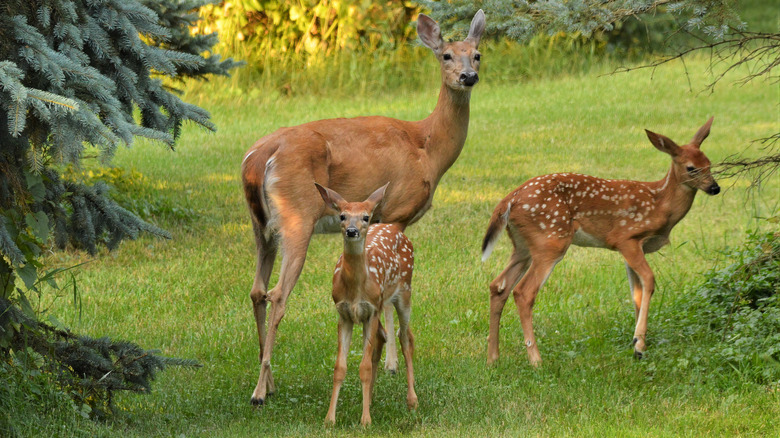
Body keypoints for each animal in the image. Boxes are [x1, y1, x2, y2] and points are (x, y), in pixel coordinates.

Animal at [314, 183, 418, 426]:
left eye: (365, 217)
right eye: (342, 216)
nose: (352, 231)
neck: (355, 290)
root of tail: (396, 229)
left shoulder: (370, 311)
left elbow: (364, 367)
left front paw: (365, 421)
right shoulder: (344, 313)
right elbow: (340, 367)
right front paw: (330, 420)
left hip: (404, 292)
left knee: (405, 337)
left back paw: (412, 401)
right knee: (383, 338)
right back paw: (370, 399)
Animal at [482, 117, 720, 366]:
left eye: (709, 163)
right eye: (691, 168)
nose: (715, 188)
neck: (660, 204)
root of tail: (508, 200)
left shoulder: (633, 249)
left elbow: (636, 293)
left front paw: (638, 342)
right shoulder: (626, 238)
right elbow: (649, 280)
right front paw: (639, 344)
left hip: (523, 246)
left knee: (498, 286)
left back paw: (493, 358)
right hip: (550, 240)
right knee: (523, 292)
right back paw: (536, 361)